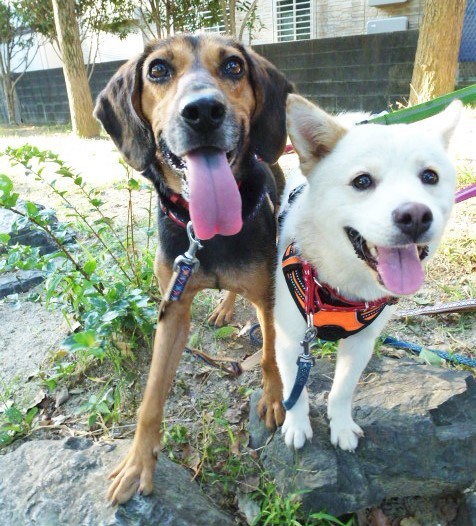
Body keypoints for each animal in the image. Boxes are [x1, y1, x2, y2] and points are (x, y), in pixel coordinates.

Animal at [94, 34, 293, 503]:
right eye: (158, 70)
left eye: (235, 66)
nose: (203, 111)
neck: (208, 233)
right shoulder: (174, 308)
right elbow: (150, 398)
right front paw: (137, 463)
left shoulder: (268, 297)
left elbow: (269, 356)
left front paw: (273, 398)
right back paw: (224, 307)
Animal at [275, 94, 461, 451]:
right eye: (362, 181)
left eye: (430, 176)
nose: (415, 216)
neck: (341, 287)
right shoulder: (291, 340)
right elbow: (295, 388)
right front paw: (297, 424)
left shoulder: (362, 342)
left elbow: (342, 390)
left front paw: (342, 426)